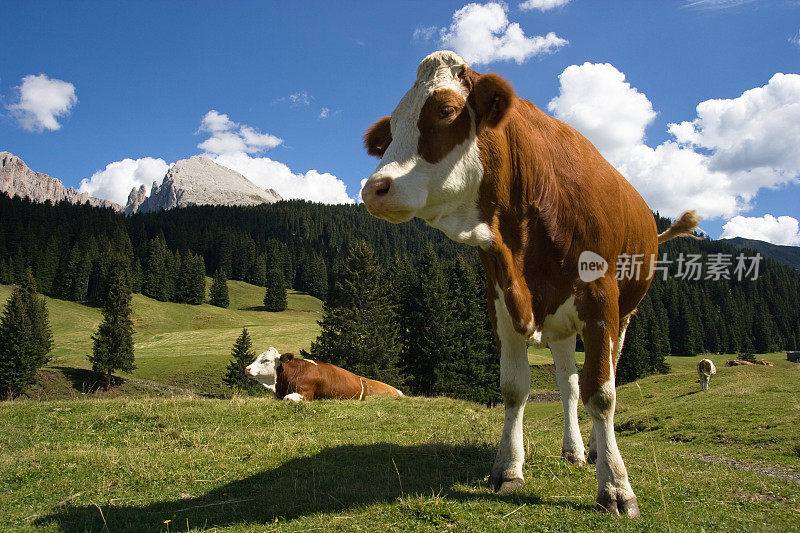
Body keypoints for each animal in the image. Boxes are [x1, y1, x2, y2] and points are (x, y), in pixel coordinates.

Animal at [358, 50, 700, 516]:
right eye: (392, 126)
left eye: (445, 110)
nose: (374, 188)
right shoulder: (501, 296)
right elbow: (515, 388)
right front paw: (508, 468)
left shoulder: (601, 299)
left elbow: (603, 393)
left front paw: (615, 487)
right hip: (561, 326)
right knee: (568, 383)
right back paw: (574, 450)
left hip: (625, 313)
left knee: (604, 374)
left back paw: (597, 450)